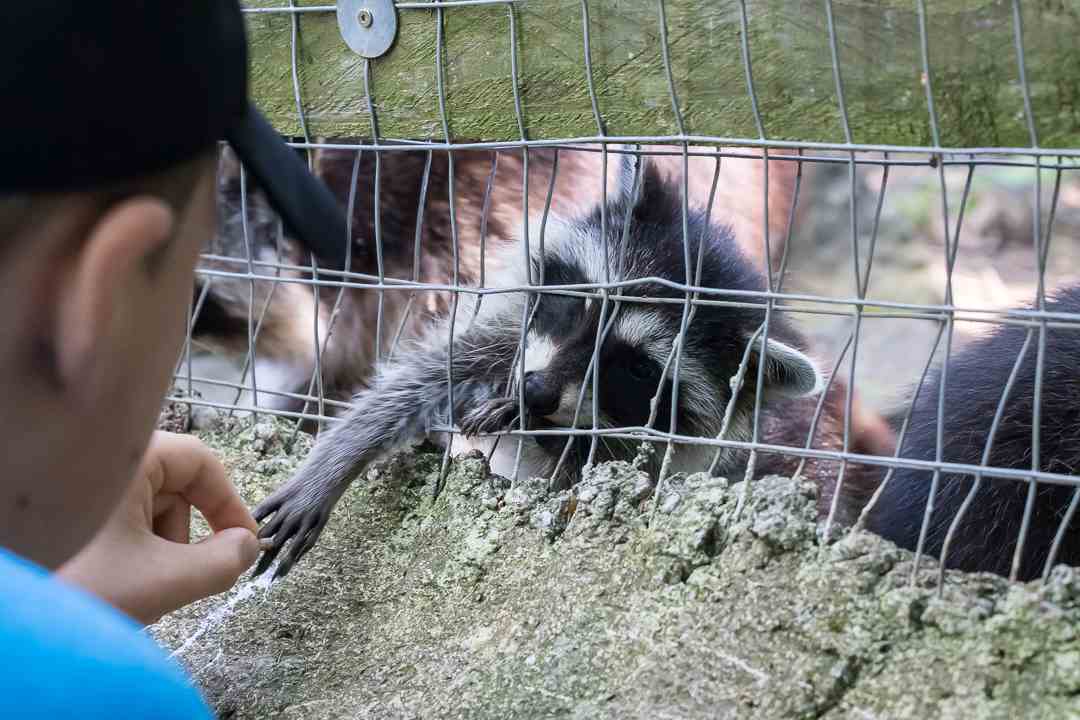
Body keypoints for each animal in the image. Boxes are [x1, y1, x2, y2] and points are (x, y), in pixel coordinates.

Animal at [248, 152, 889, 578]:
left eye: (636, 370)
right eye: (583, 303)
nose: (535, 394)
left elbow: (581, 472)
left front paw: (551, 430)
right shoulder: (519, 328)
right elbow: (428, 372)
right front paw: (337, 459)